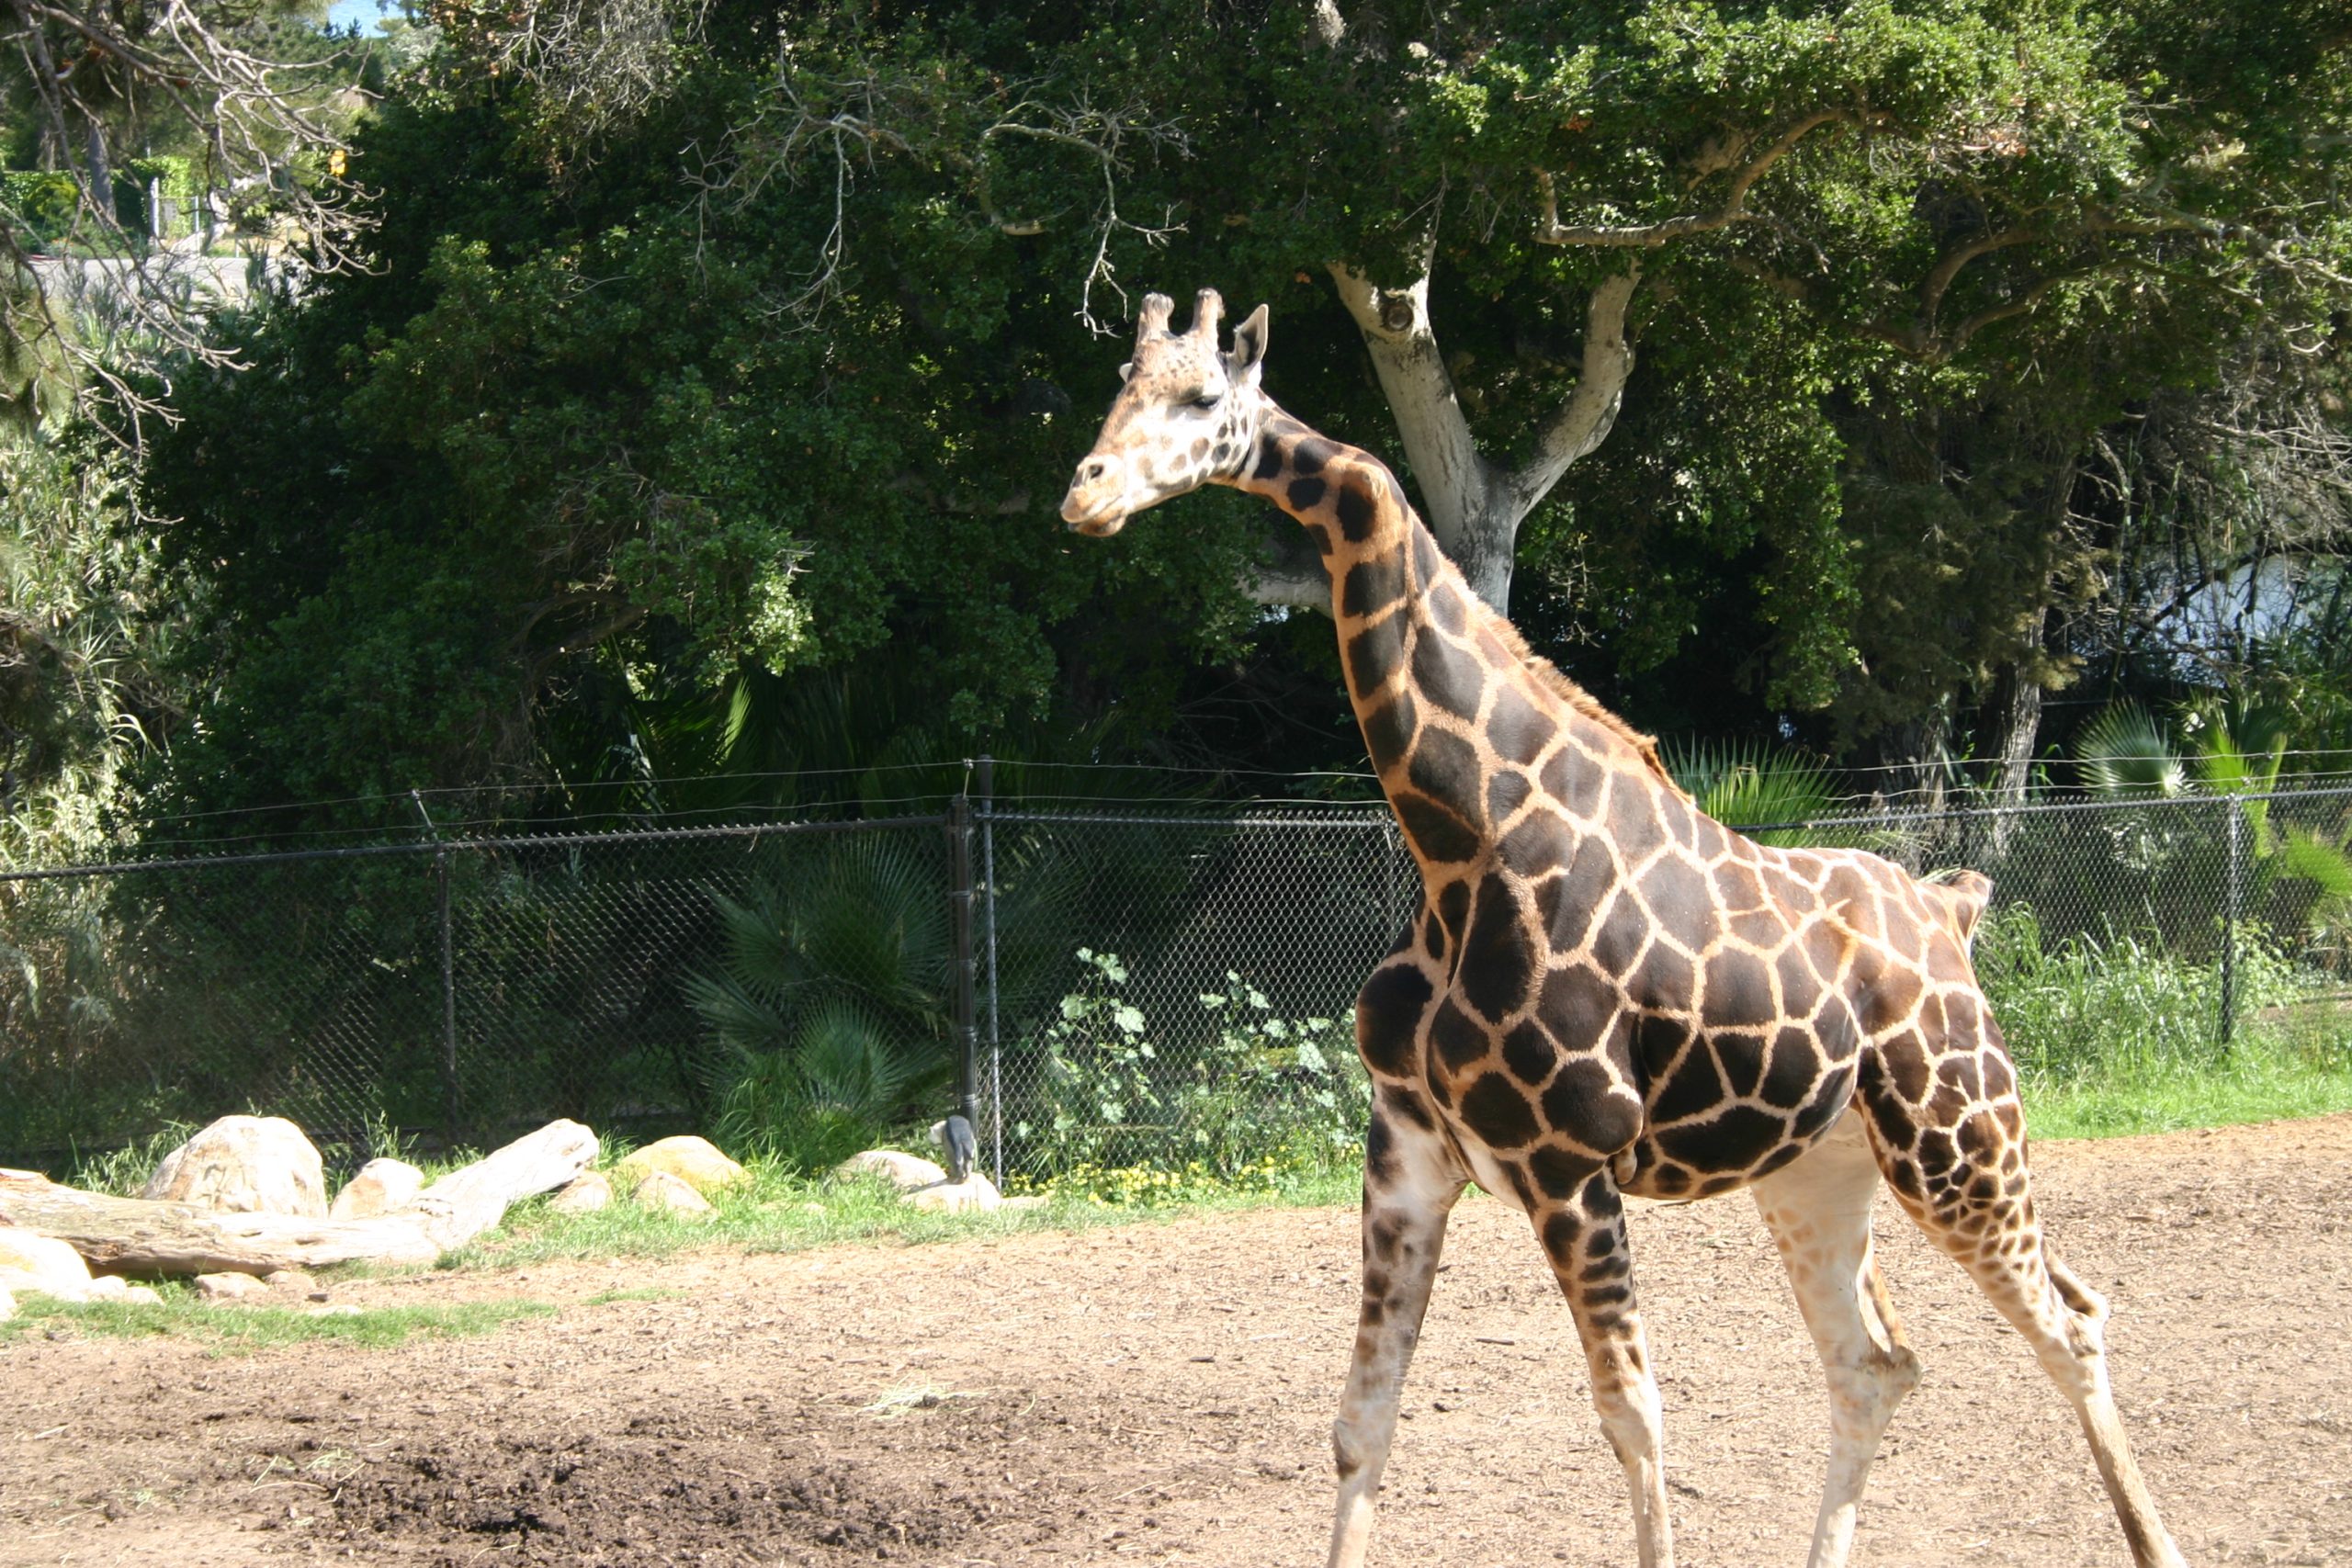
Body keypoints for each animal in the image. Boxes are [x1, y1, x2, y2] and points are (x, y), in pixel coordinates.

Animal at [1060, 289, 2187, 1568]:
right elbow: (1362, 1422)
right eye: (1120, 381)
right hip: (1822, 1171)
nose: (1087, 492)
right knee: (1877, 1364)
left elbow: (1633, 1420)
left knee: (2070, 1322)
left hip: (1960, 1139)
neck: (1460, 847)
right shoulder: (1405, 1154)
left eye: (1203, 396)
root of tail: (1951, 905)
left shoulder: (1570, 1165)